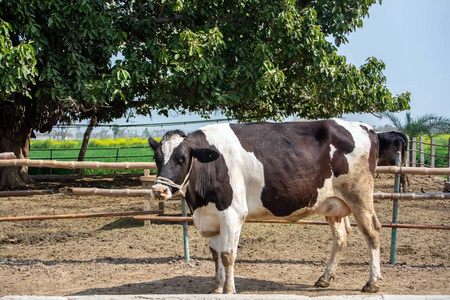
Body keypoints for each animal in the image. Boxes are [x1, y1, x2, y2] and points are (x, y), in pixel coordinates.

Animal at [149, 119, 382, 292]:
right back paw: (325, 278)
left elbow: (227, 255)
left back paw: (372, 282)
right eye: (157, 158)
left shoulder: (233, 214)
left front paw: (229, 290)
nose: (158, 190)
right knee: (341, 236)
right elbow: (216, 255)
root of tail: (365, 127)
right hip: (334, 204)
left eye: (182, 158)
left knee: (372, 232)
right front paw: (216, 288)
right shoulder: (211, 216)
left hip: (359, 194)